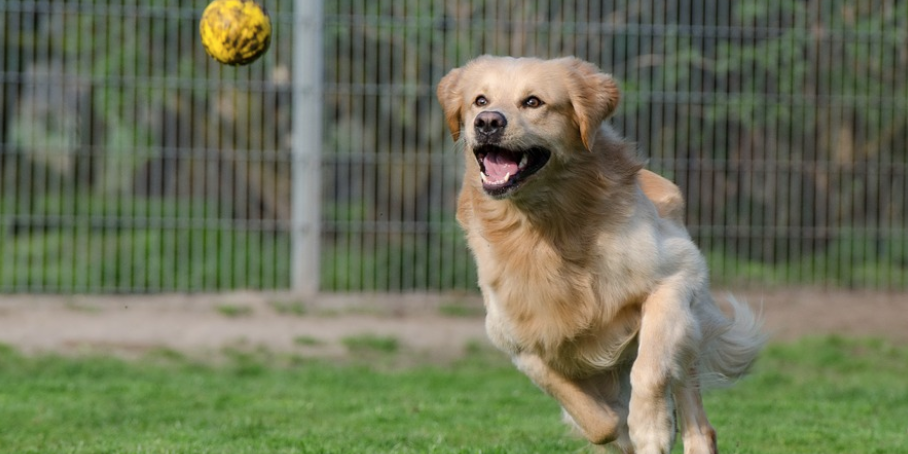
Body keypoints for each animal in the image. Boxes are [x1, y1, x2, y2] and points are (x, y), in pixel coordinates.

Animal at [436, 56, 764, 454]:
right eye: (480, 101)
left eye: (533, 102)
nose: (487, 122)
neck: (546, 228)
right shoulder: (517, 341)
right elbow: (596, 419)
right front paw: (620, 428)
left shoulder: (675, 278)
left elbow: (650, 369)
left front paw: (650, 426)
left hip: (688, 329)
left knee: (696, 419)